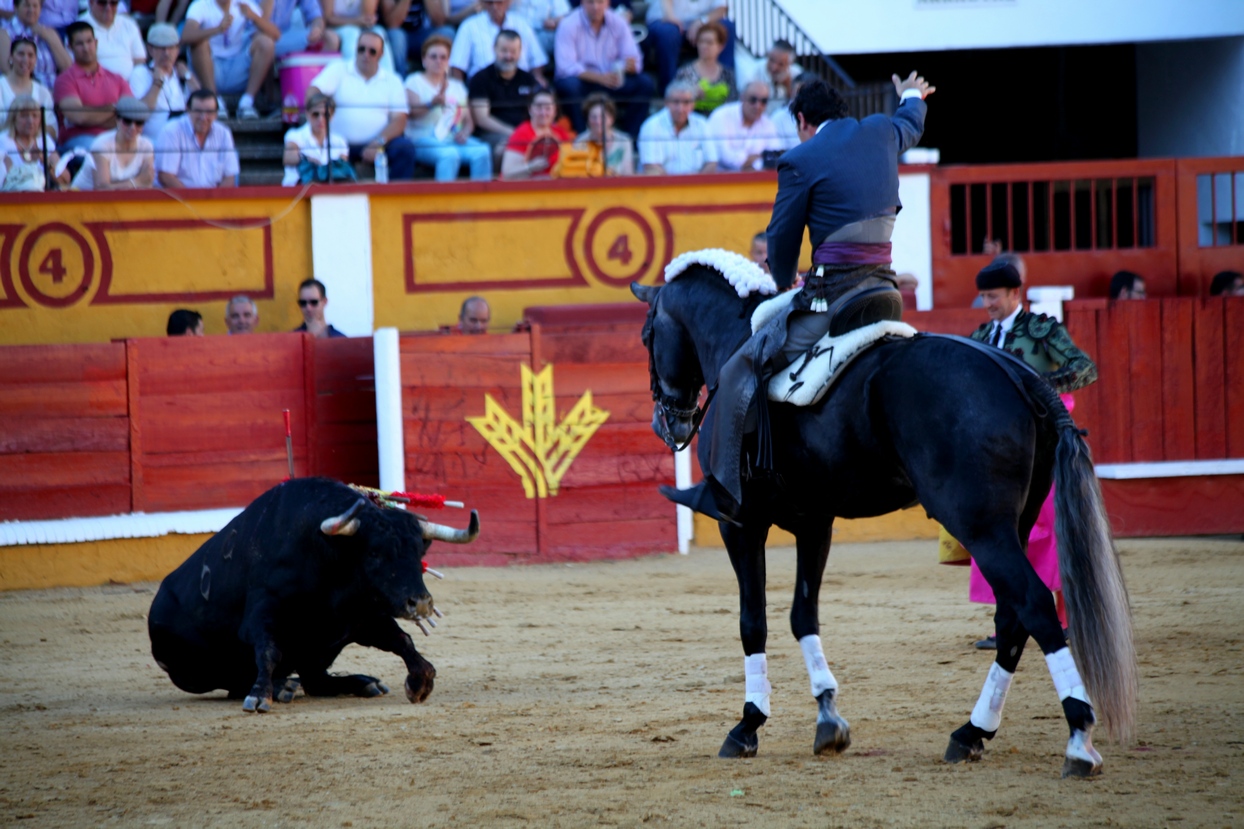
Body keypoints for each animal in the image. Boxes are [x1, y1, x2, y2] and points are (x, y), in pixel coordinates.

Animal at [144, 477, 475, 711]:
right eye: (375, 553)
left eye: (420, 552)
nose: (421, 603)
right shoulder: (261, 614)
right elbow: (268, 650)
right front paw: (260, 695)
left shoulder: (362, 617)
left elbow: (401, 640)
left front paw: (420, 680)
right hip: (195, 671)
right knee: (236, 681)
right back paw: (282, 686)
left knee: (315, 680)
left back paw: (363, 683)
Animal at [631, 262, 1139, 776]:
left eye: (647, 335)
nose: (666, 421)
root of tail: (1020, 375)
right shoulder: (815, 522)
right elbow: (803, 615)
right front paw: (828, 718)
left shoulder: (741, 524)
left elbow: (753, 620)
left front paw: (748, 724)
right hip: (1016, 521)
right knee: (1012, 618)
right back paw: (972, 733)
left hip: (981, 528)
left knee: (1033, 604)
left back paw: (1078, 738)